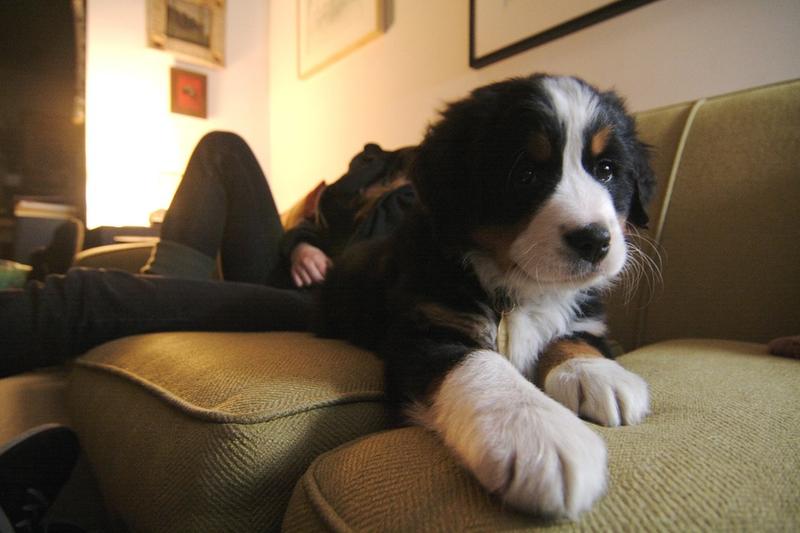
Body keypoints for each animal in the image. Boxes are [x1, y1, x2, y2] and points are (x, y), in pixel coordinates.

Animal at [318, 72, 656, 516]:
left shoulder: (586, 315)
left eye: (606, 170)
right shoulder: (426, 328)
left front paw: (597, 375)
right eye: (525, 174)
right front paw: (540, 435)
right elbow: (479, 362)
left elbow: (574, 336)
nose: (595, 240)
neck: (521, 286)